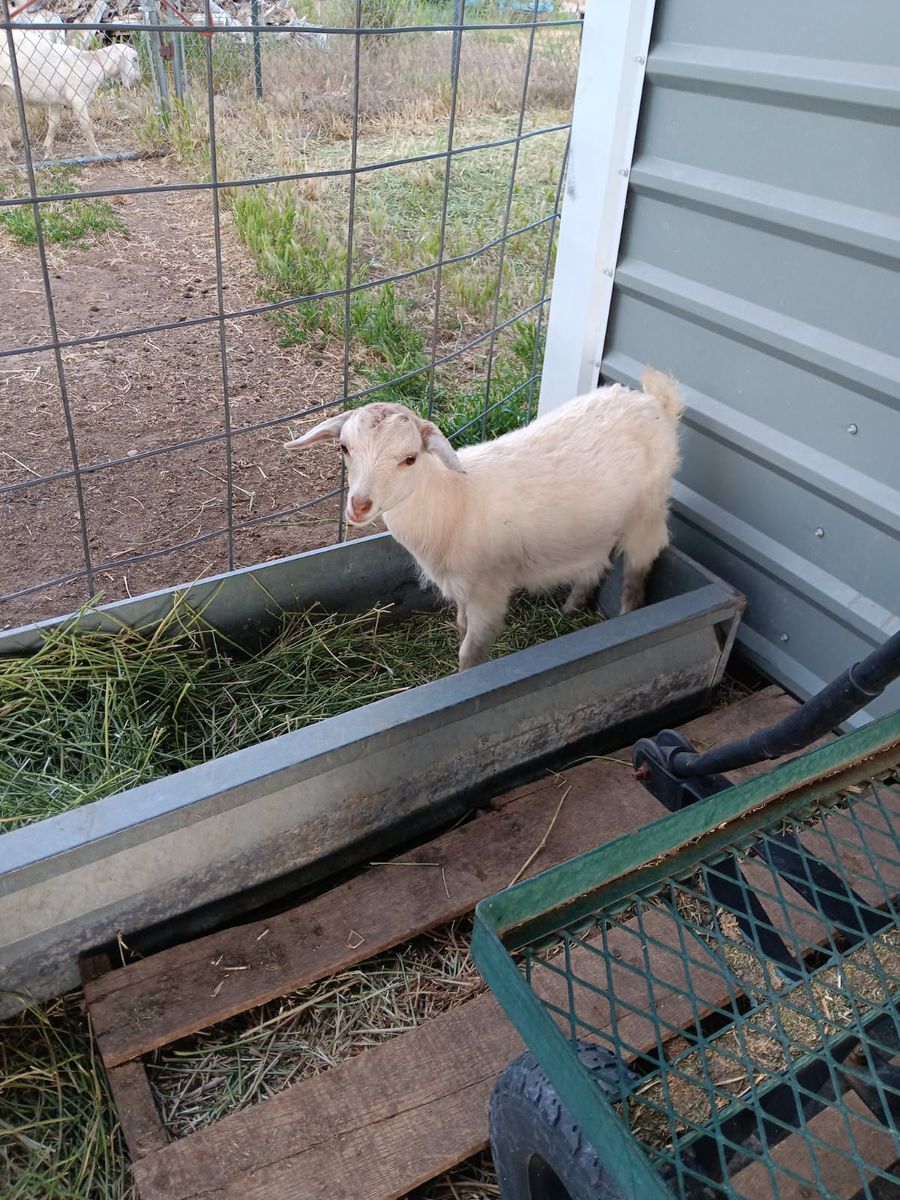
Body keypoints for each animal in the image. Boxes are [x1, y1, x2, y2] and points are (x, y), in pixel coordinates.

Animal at [1, 30, 141, 159]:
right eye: (135, 59)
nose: (138, 79)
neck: (92, 63)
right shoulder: (78, 97)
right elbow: (86, 124)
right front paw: (98, 154)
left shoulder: (55, 100)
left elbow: (54, 123)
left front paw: (47, 153)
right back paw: (10, 153)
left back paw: (10, 152)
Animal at [285, 369, 683, 670]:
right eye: (344, 448)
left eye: (410, 458)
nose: (359, 506)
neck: (454, 501)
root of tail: (655, 401)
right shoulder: (462, 587)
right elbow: (461, 626)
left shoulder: (489, 590)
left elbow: (471, 652)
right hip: (596, 523)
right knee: (595, 563)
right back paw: (570, 610)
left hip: (648, 512)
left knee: (635, 575)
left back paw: (627, 615)